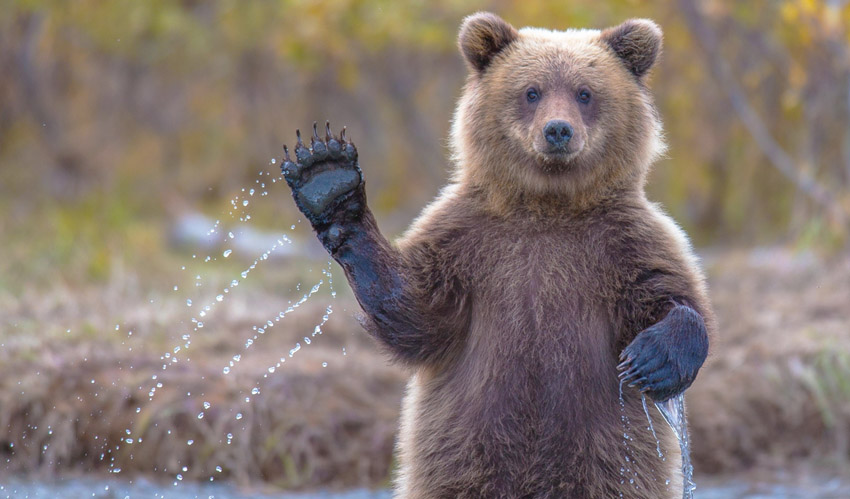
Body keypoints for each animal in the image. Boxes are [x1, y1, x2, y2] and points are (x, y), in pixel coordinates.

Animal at [282, 11, 712, 499]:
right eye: (532, 91)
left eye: (585, 93)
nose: (557, 130)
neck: (547, 205)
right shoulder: (468, 241)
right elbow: (416, 311)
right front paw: (327, 178)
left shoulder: (624, 241)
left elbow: (670, 295)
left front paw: (652, 359)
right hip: (462, 454)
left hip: (610, 458)